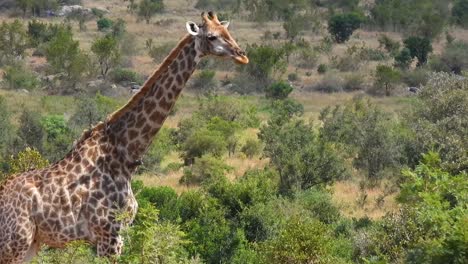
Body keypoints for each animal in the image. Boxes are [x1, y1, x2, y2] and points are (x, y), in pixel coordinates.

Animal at [0, 11, 249, 262]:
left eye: (228, 32)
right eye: (211, 37)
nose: (242, 56)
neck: (124, 153)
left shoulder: (119, 234)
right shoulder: (109, 234)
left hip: (31, 244)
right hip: (14, 243)